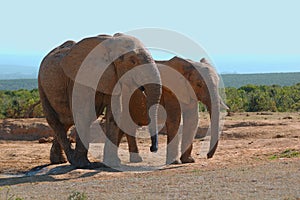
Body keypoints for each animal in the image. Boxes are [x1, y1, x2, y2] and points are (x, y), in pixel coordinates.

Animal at [39, 33, 164, 168]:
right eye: (132, 61)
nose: (152, 148)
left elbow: (115, 112)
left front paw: (113, 163)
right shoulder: (80, 77)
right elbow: (83, 113)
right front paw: (84, 165)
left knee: (65, 122)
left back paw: (59, 161)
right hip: (42, 86)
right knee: (56, 121)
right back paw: (71, 159)